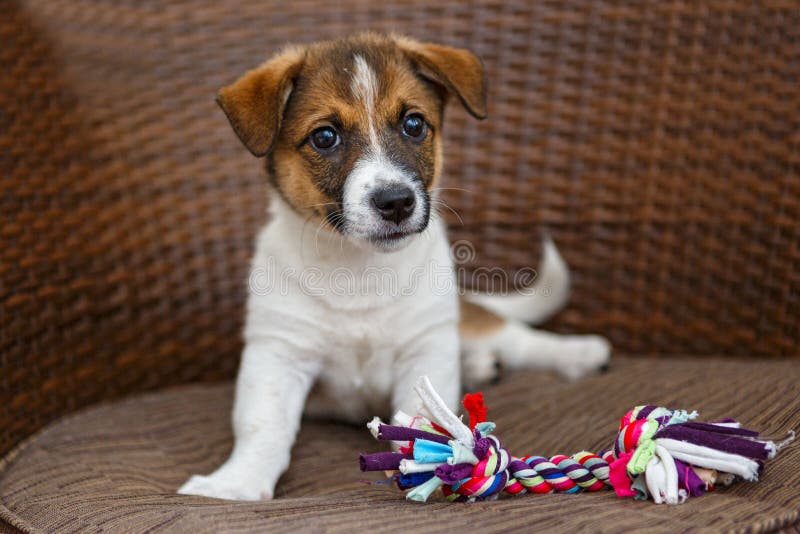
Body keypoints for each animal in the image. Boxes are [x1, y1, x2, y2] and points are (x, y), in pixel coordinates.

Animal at [178, 32, 608, 502]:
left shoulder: (425, 349)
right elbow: (263, 425)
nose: (397, 202)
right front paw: (235, 483)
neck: (358, 268)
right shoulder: (278, 353)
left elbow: (424, 421)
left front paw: (432, 468)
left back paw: (577, 353)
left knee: (513, 335)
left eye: (414, 125)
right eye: (325, 136)